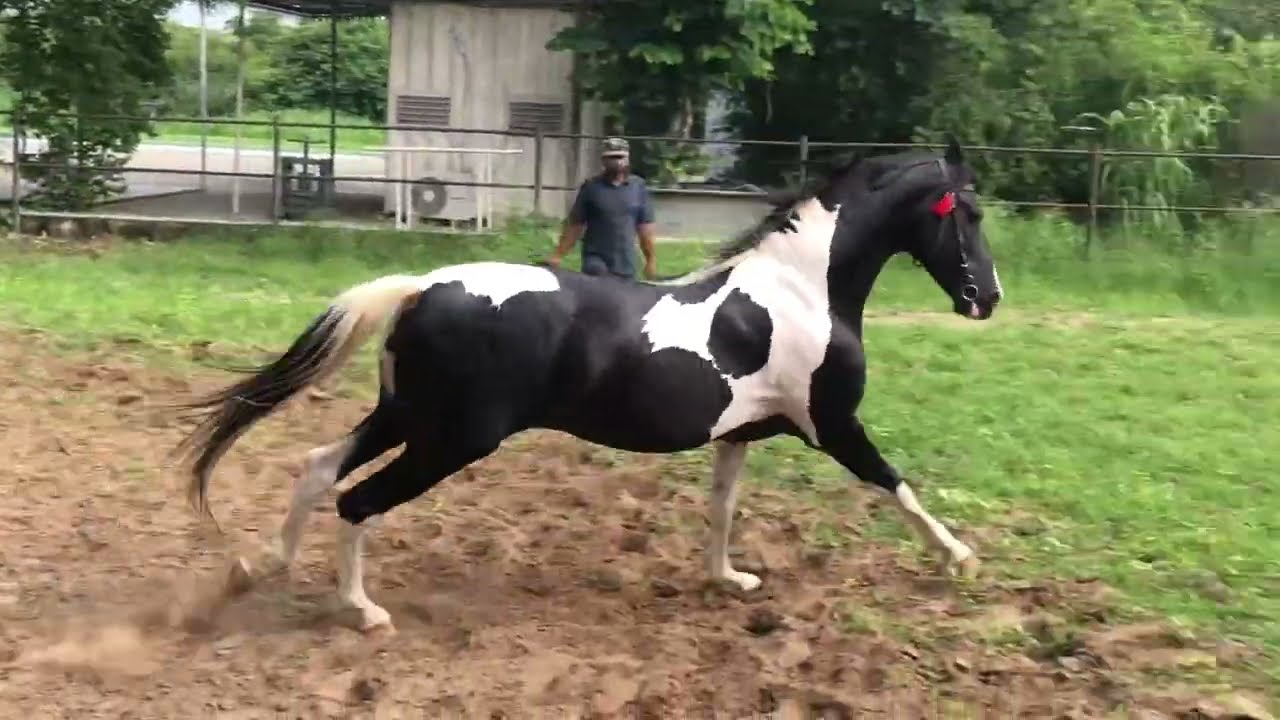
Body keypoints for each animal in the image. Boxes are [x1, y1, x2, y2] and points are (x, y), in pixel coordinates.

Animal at [173, 135, 1003, 633]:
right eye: (967, 212)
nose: (986, 300)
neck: (800, 292)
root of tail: (421, 288)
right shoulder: (832, 425)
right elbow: (896, 486)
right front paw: (962, 561)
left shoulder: (739, 433)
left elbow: (722, 508)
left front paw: (728, 579)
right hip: (451, 439)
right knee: (357, 500)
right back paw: (363, 611)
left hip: (404, 416)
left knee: (317, 467)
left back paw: (257, 569)